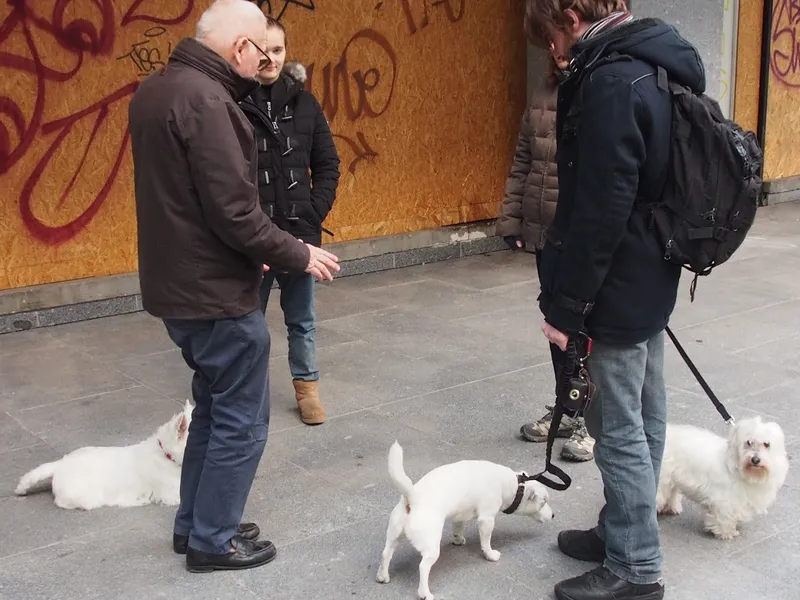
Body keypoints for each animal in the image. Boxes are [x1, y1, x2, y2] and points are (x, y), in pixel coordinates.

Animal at [376, 440, 552, 600]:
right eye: (543, 502)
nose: (553, 516)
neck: (514, 484)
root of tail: (411, 497)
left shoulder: (459, 514)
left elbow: (458, 527)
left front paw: (458, 539)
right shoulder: (486, 519)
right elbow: (486, 542)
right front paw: (489, 554)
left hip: (394, 535)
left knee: (386, 553)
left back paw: (383, 576)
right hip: (431, 546)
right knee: (423, 566)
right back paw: (425, 593)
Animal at [656, 418, 788, 540]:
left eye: (766, 444)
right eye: (748, 442)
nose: (755, 460)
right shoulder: (726, 501)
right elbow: (725, 517)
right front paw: (727, 533)